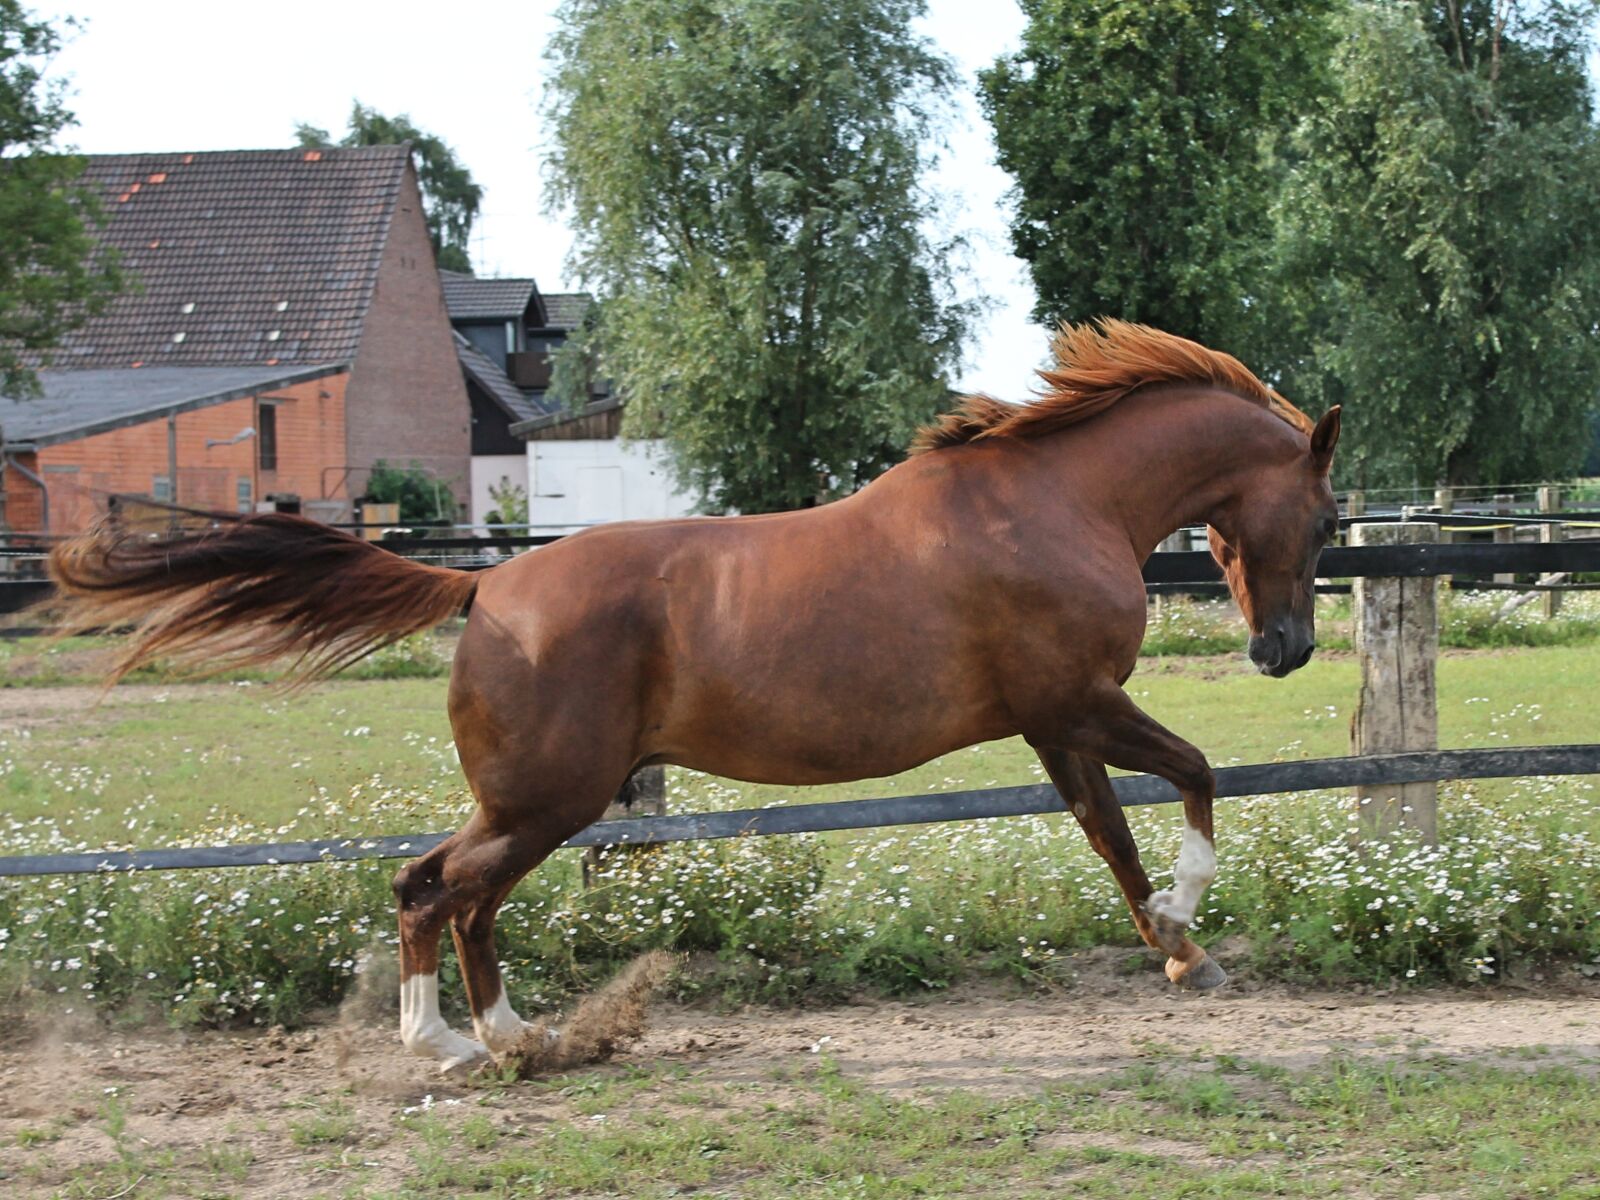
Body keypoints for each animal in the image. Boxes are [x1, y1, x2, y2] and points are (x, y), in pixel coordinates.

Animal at [49, 319, 1341, 1071]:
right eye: (1328, 515)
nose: (1285, 650)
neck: (1053, 502)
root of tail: (485, 588)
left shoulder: (1050, 724)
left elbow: (1109, 836)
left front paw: (1174, 950)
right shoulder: (1075, 701)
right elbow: (1192, 781)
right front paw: (1190, 927)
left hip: (532, 799)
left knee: (444, 890)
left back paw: (510, 1036)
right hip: (550, 798)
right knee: (443, 892)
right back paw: (459, 1044)